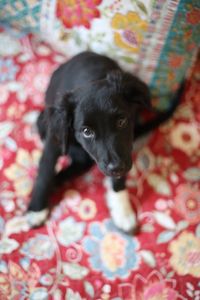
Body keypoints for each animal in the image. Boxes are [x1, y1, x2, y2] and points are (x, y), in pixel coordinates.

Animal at [27, 51, 180, 232]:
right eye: (87, 131)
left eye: (121, 121)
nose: (116, 167)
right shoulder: (55, 140)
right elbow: (45, 171)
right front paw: (36, 210)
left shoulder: (125, 150)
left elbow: (119, 179)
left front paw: (122, 209)